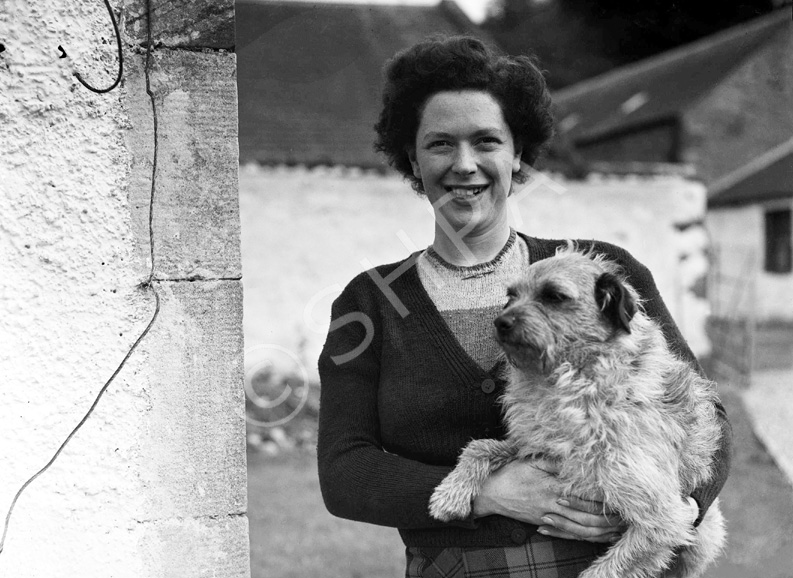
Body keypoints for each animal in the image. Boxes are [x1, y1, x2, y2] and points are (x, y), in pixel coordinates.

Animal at [430, 244, 728, 576]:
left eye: (554, 296)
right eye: (511, 296)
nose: (500, 323)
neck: (574, 380)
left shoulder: (664, 519)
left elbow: (604, 569)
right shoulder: (535, 446)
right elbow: (480, 446)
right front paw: (449, 494)